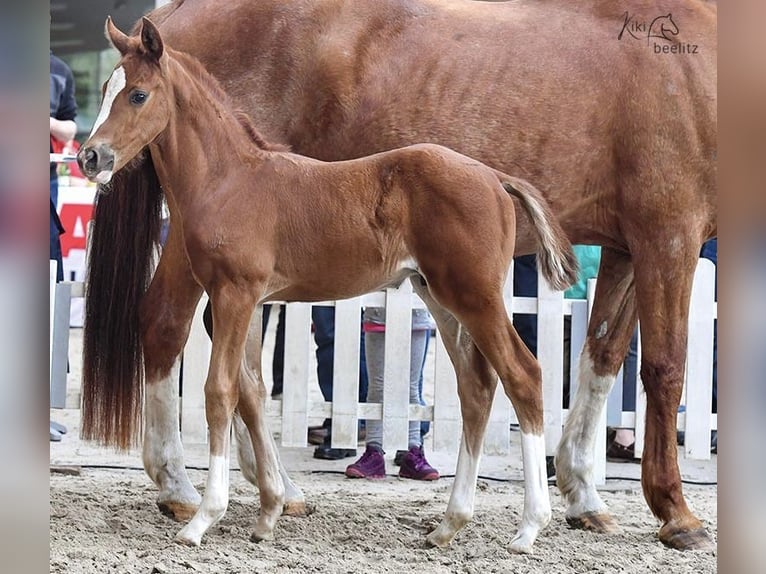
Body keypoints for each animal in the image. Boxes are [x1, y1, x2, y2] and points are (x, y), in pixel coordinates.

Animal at [84, 0, 720, 552]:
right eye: (105, 90)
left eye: (137, 93)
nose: (90, 157)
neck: (234, 174)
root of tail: (494, 178)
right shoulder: (663, 232)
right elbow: (245, 387)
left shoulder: (645, 240)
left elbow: (619, 357)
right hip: (447, 295)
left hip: (463, 296)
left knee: (511, 378)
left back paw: (509, 526)